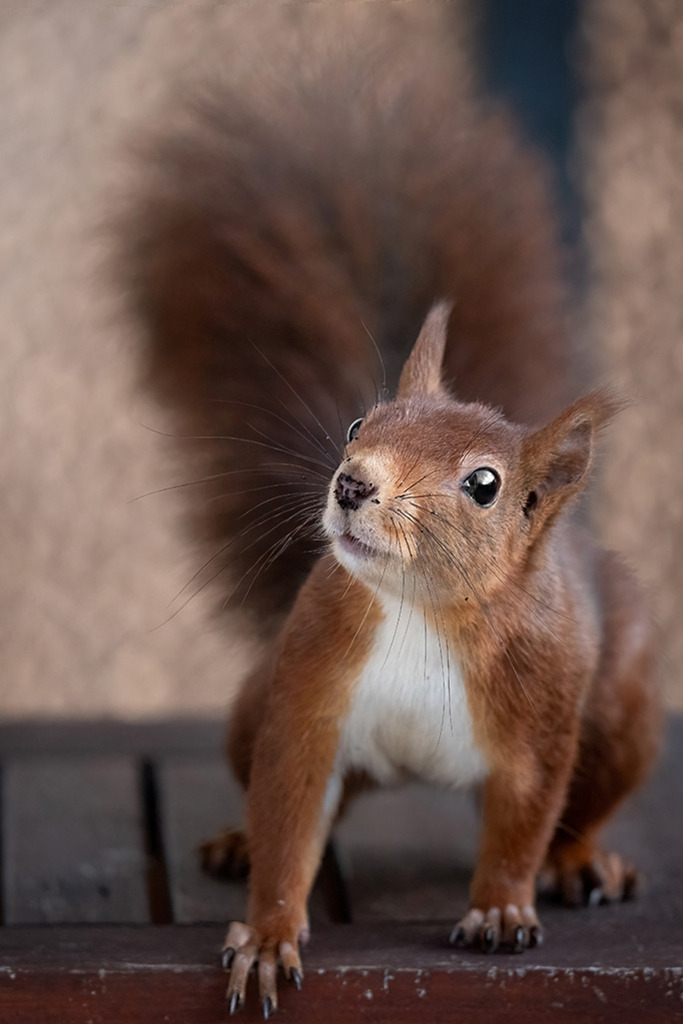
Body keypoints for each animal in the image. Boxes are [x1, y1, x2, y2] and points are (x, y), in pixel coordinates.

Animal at [125, 6, 660, 1017]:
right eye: (355, 422)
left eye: (483, 485)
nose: (351, 483)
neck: (420, 612)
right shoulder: (306, 698)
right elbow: (291, 811)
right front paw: (267, 930)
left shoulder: (541, 714)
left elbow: (523, 817)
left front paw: (500, 909)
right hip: (253, 702)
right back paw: (236, 841)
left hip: (621, 712)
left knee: (575, 808)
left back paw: (581, 861)